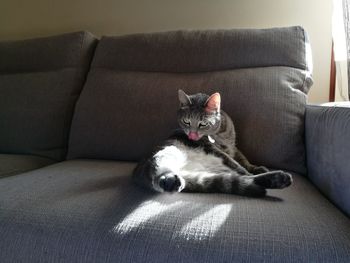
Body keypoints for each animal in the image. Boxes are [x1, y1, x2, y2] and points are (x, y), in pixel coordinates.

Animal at [133, 89, 292, 197]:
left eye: (203, 124)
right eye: (186, 122)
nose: (192, 135)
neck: (219, 134)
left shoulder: (234, 148)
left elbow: (244, 160)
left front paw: (257, 168)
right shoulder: (214, 149)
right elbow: (238, 165)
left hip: (214, 171)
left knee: (243, 178)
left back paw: (277, 180)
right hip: (168, 152)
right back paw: (170, 181)